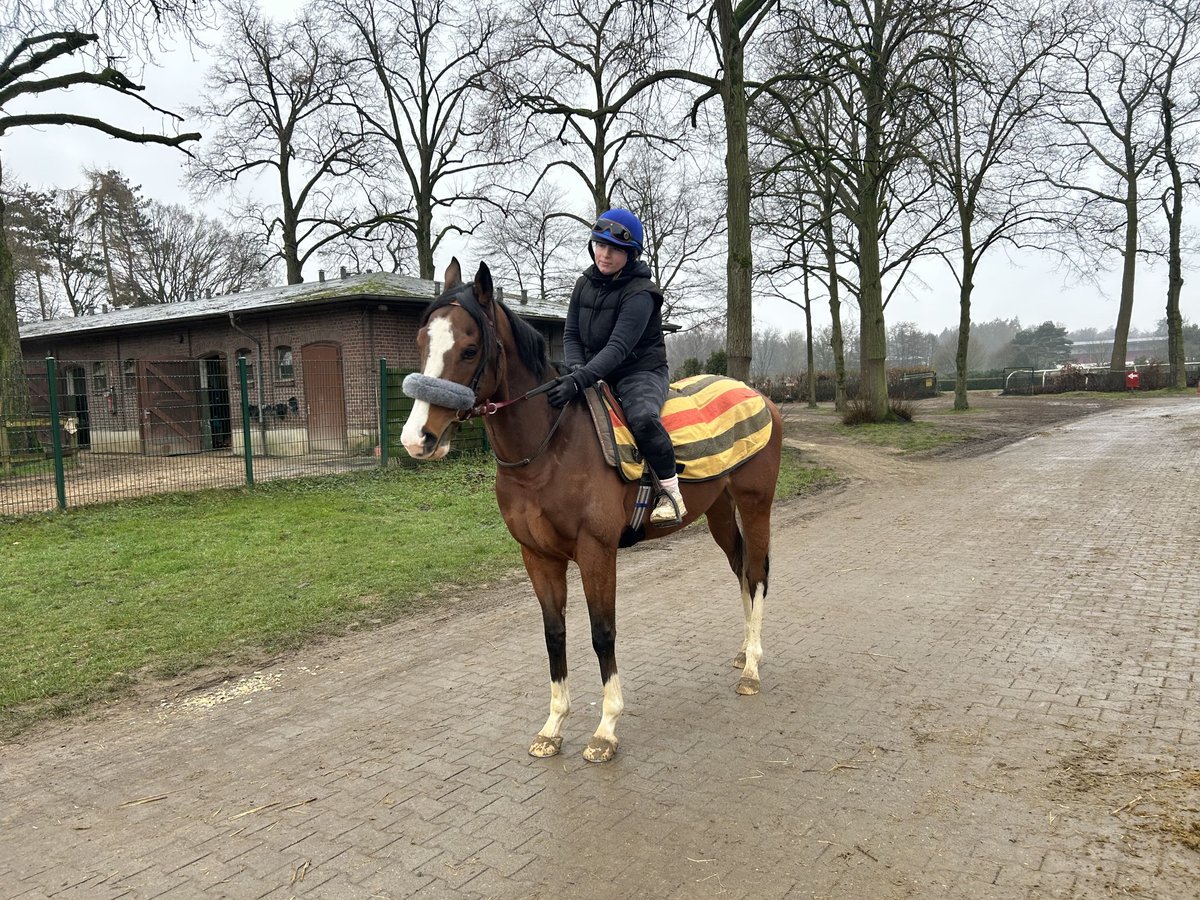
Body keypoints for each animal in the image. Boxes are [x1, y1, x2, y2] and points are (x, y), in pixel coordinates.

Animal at [398, 256, 782, 763]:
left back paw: (752, 668)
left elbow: (603, 633)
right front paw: (553, 726)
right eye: (422, 340)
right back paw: (743, 651)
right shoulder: (538, 557)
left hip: (756, 506)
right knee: (740, 568)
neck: (548, 449)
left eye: (468, 348)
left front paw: (605, 730)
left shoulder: (597, 552)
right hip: (719, 510)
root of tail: (762, 397)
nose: (417, 438)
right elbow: (554, 635)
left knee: (756, 574)